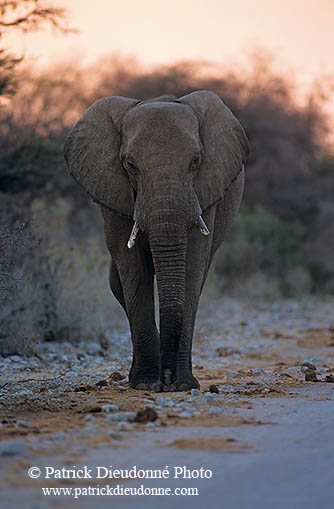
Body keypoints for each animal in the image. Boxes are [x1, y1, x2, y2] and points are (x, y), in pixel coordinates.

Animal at [64, 91, 249, 390]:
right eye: (129, 164)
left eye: (196, 160)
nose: (166, 380)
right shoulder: (115, 192)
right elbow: (132, 268)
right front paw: (145, 383)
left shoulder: (204, 192)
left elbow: (192, 268)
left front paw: (183, 385)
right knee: (117, 283)